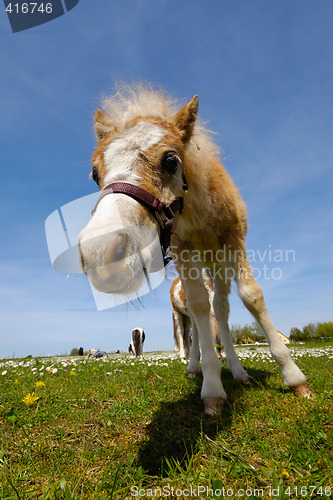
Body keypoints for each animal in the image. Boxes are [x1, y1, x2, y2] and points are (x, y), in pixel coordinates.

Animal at [78, 83, 312, 414]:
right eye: (95, 174)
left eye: (171, 161)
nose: (101, 254)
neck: (197, 215)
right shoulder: (182, 250)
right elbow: (199, 307)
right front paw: (212, 390)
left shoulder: (233, 240)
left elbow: (252, 296)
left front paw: (294, 378)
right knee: (200, 316)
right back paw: (195, 367)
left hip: (218, 265)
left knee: (222, 311)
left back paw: (239, 372)